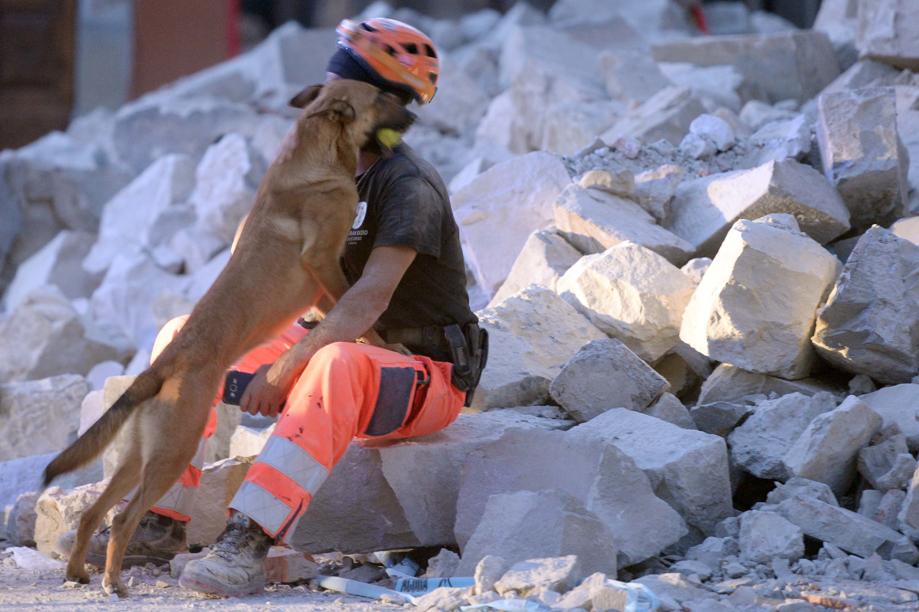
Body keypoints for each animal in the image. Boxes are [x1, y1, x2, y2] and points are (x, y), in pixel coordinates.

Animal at [43, 79, 416, 596]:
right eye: (380, 97)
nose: (414, 116)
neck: (317, 146)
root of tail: (163, 365)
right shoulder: (324, 262)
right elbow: (365, 318)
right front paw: (387, 346)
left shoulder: (321, 289)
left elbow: (343, 317)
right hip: (173, 452)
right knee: (122, 519)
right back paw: (114, 582)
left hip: (140, 456)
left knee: (94, 514)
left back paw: (80, 571)